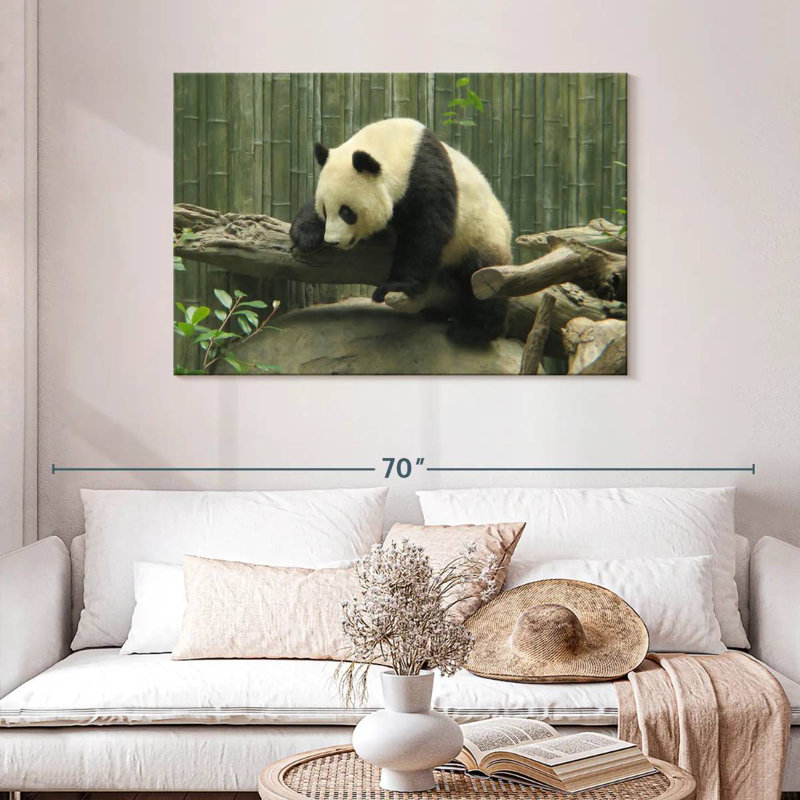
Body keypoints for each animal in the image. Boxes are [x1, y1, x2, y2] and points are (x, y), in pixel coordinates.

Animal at [290, 117, 512, 343]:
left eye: (347, 212)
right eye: (325, 210)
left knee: (481, 281)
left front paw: (396, 285)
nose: (332, 240)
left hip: (481, 236)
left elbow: (426, 233)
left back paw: (474, 331)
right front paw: (305, 234)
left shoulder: (427, 178)